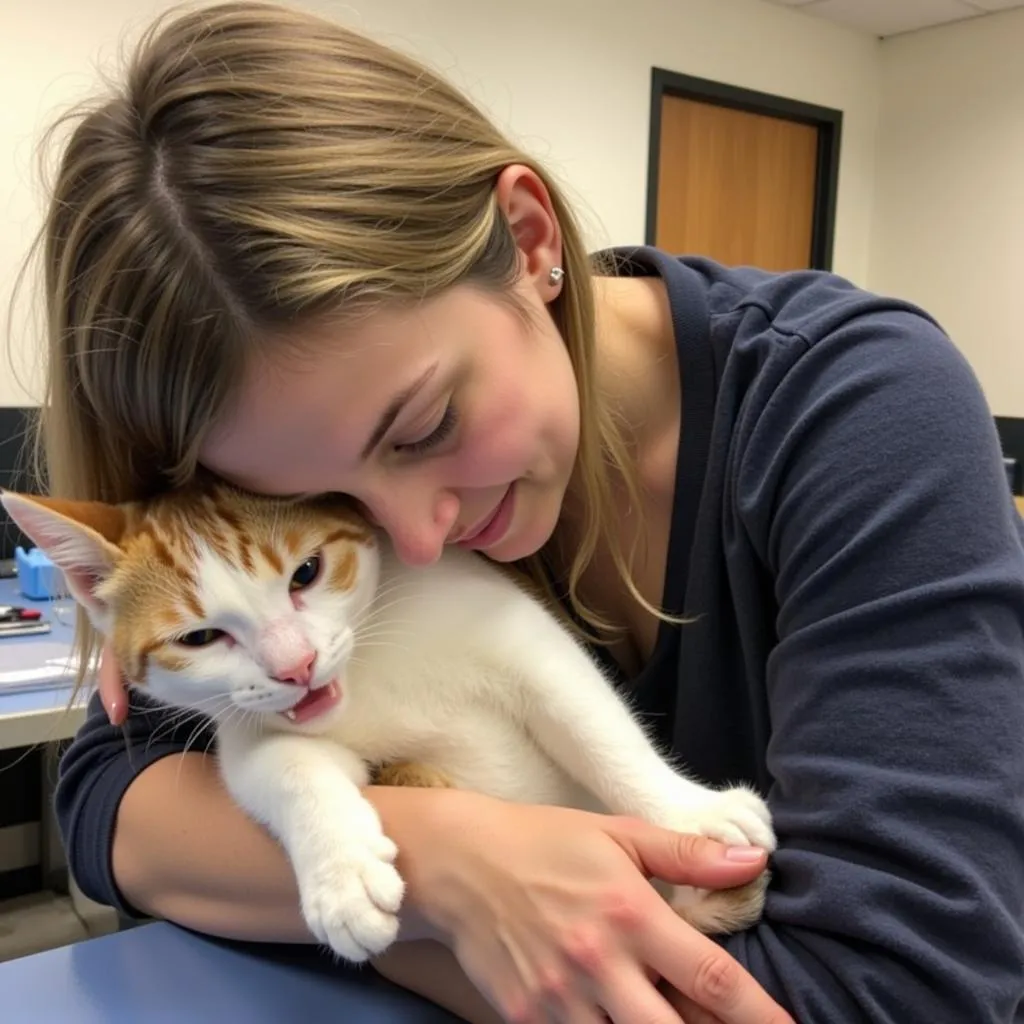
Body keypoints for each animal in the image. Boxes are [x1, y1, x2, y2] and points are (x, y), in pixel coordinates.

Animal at [2, 483, 774, 962]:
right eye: (198, 638)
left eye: (306, 573)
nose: (296, 666)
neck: (369, 671)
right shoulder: (250, 729)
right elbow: (284, 768)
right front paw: (341, 875)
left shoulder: (523, 639)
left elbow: (594, 724)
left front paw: (691, 814)